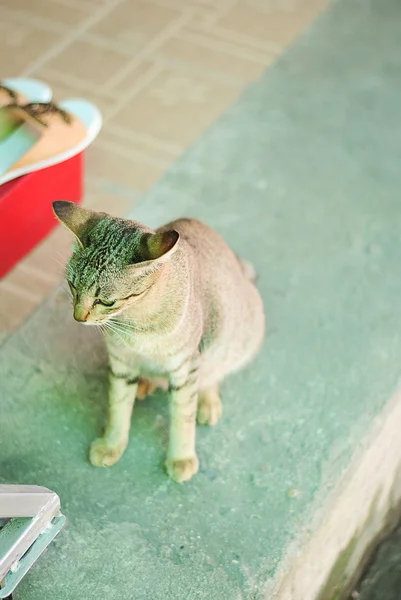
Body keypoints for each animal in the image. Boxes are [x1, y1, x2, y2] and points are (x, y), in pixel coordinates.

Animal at [54, 202, 266, 482]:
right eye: (72, 286)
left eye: (106, 301)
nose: (78, 317)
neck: (136, 325)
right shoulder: (121, 364)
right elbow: (118, 408)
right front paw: (112, 444)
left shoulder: (185, 368)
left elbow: (182, 417)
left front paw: (181, 458)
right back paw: (147, 383)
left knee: (213, 374)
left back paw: (208, 401)